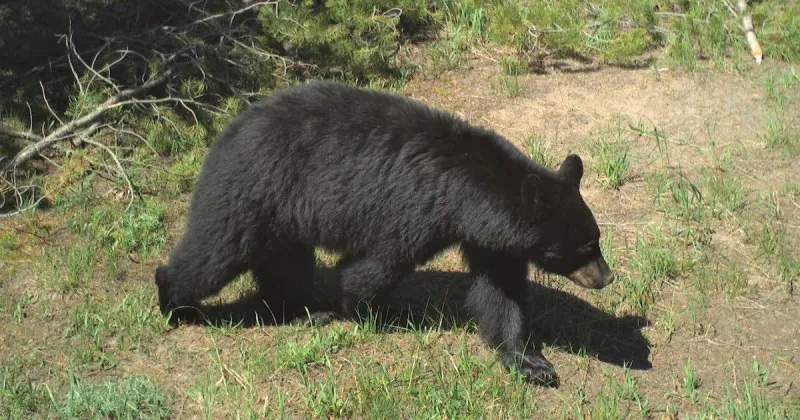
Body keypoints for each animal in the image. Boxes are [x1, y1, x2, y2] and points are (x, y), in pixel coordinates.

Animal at [155, 81, 614, 386]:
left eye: (596, 240)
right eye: (585, 246)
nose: (607, 277)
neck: (468, 193)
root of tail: (227, 130)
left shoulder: (489, 238)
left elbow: (501, 294)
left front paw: (531, 362)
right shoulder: (414, 211)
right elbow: (376, 265)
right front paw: (368, 311)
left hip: (281, 213)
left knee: (285, 262)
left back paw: (303, 311)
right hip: (253, 189)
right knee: (214, 254)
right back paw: (175, 302)